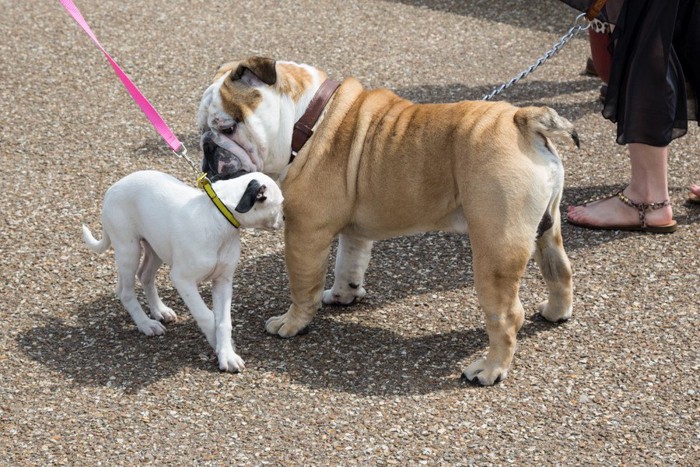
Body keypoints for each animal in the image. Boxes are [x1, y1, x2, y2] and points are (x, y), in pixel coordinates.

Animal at [79, 172, 282, 372]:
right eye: (280, 203)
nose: (285, 218)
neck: (218, 218)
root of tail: (113, 188)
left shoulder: (223, 281)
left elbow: (224, 322)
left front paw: (227, 353)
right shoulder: (183, 280)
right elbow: (206, 316)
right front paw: (217, 345)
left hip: (155, 247)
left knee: (144, 276)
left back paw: (160, 310)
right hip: (128, 250)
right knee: (125, 292)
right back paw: (146, 324)